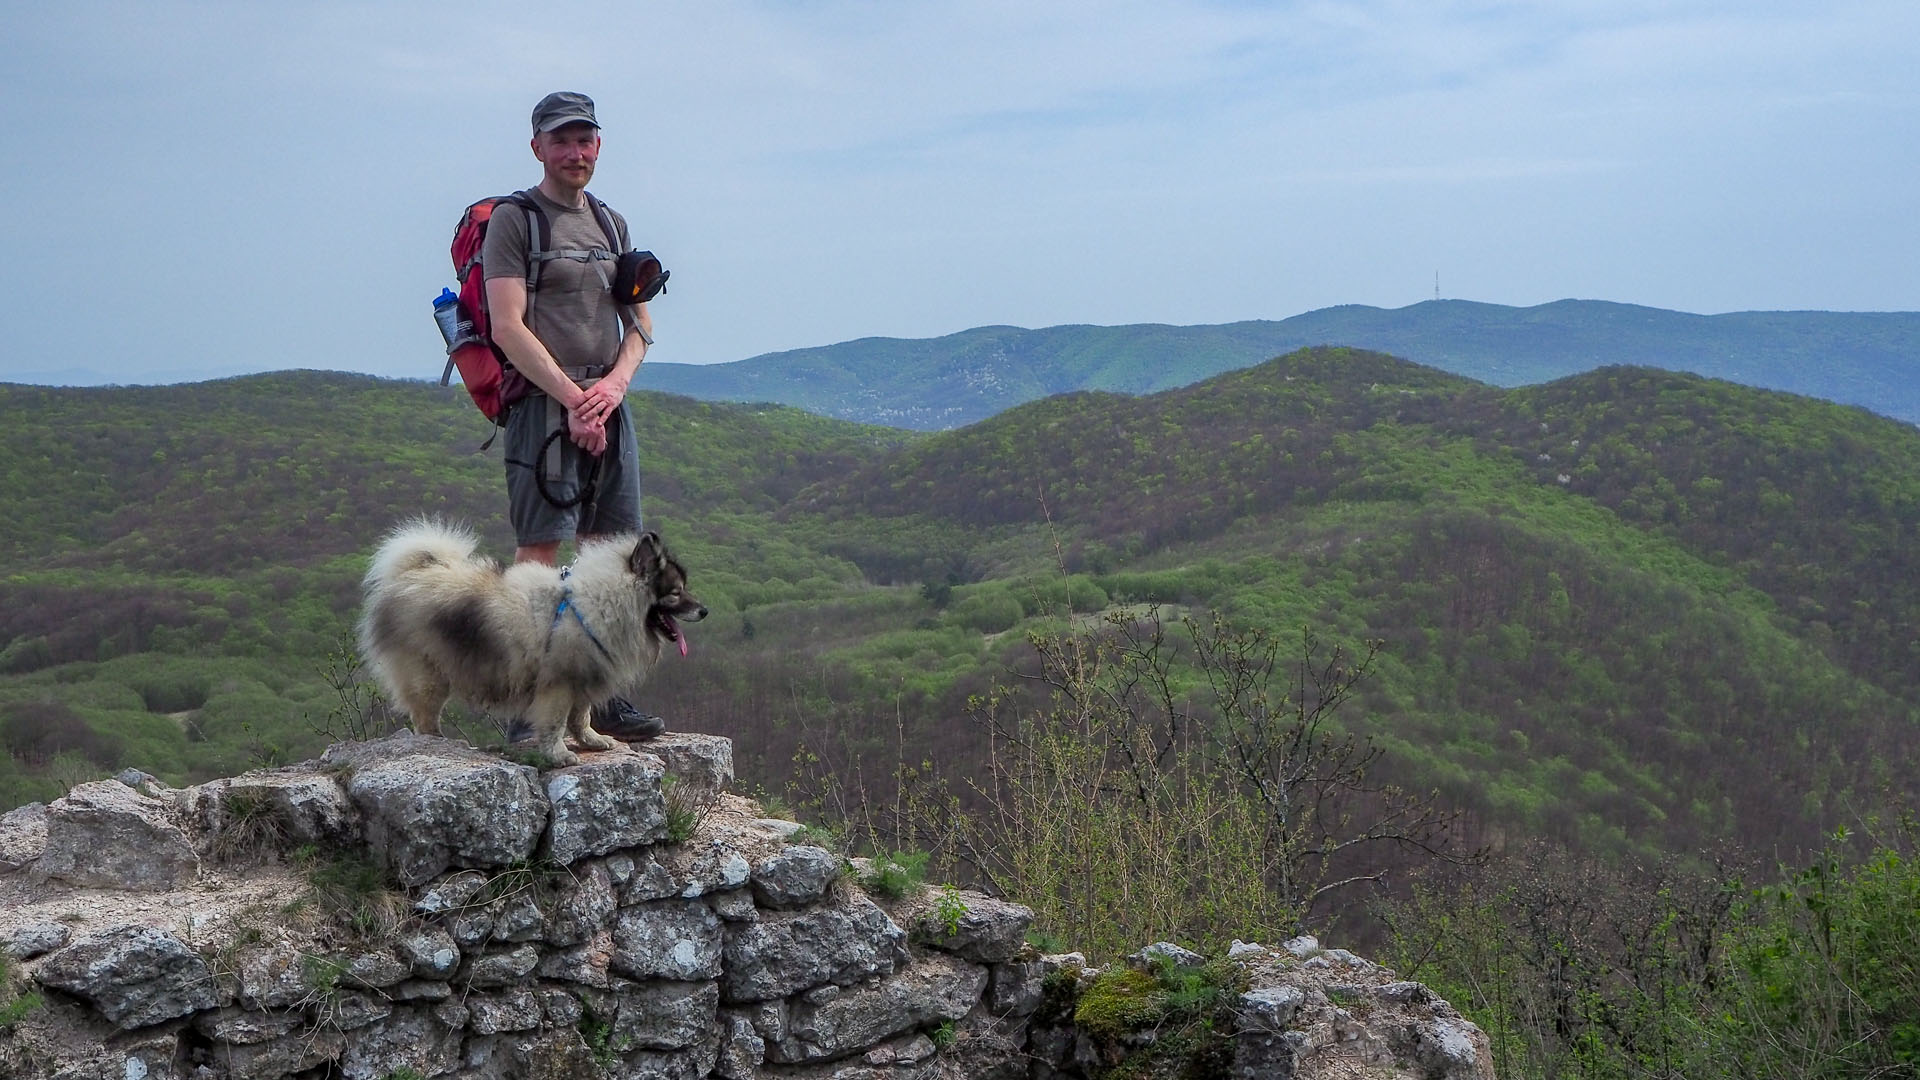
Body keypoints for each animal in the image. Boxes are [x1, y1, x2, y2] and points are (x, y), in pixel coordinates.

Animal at [359, 522, 706, 764]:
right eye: (675, 593)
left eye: (684, 589)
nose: (704, 610)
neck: (599, 603)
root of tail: (411, 574)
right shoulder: (559, 685)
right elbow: (555, 723)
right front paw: (558, 754)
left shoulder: (583, 677)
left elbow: (581, 717)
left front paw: (591, 740)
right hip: (429, 676)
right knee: (424, 717)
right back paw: (438, 741)